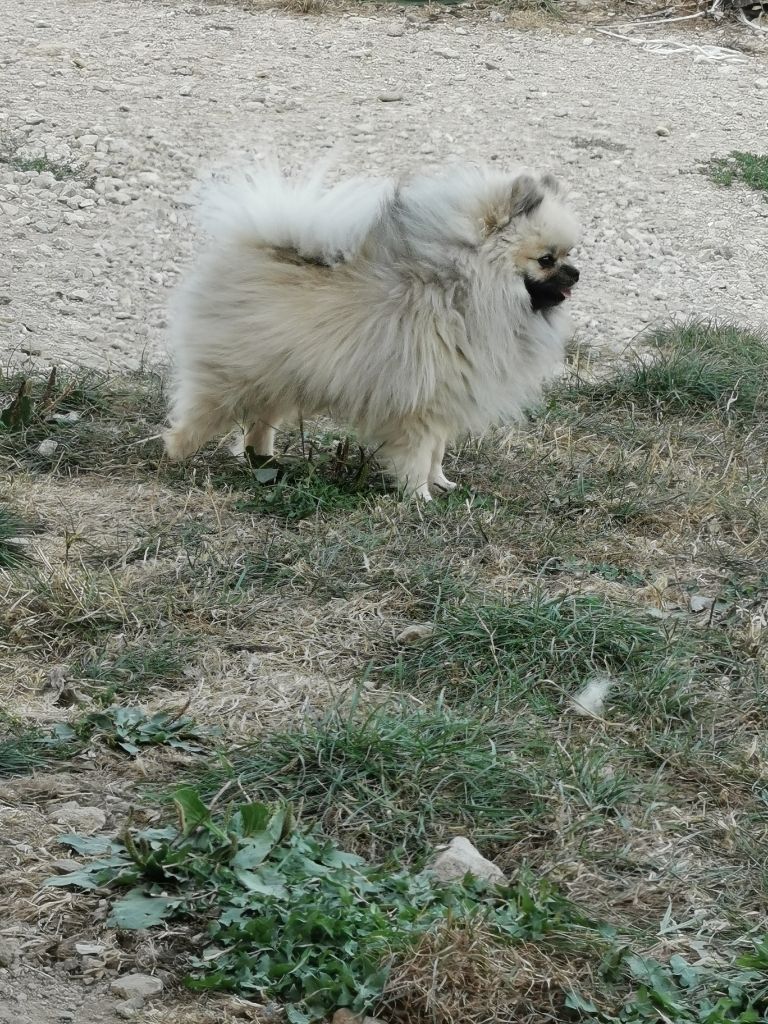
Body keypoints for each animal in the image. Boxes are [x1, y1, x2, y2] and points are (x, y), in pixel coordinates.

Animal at [165, 159, 581, 499]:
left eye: (569, 253)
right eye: (546, 260)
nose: (576, 273)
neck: (459, 289)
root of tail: (253, 247)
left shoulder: (445, 403)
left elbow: (437, 454)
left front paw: (441, 484)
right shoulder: (420, 407)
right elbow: (418, 457)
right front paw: (419, 498)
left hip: (279, 378)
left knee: (259, 423)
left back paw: (263, 462)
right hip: (233, 379)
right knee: (198, 416)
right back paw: (175, 456)